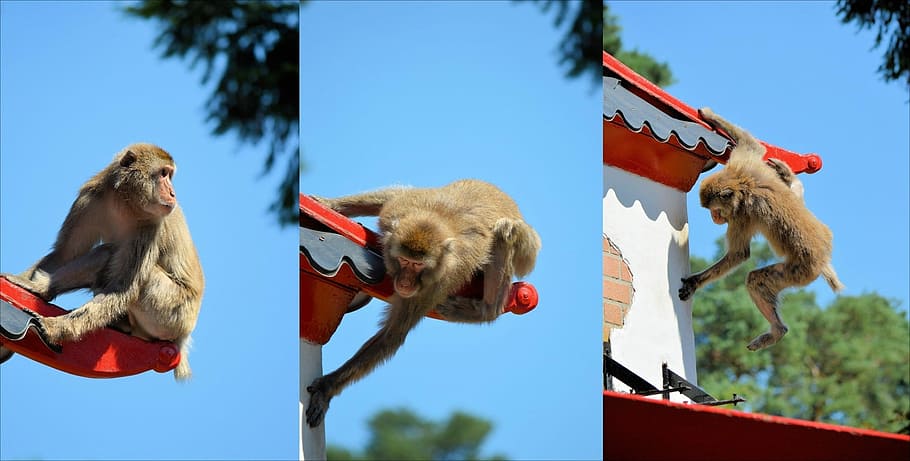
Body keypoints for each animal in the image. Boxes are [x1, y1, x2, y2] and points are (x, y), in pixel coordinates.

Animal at [1, 143, 205, 380]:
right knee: (105, 252)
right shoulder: (90, 198)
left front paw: (54, 328)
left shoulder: (151, 225)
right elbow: (65, 253)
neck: (125, 204)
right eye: (164, 174)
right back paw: (42, 289)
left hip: (172, 313)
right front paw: (25, 283)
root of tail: (184, 337)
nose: (173, 193)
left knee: (122, 262)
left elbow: (121, 291)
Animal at [305, 179, 541, 427]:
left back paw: (486, 310)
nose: (405, 282)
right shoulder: (395, 212)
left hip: (528, 251)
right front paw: (329, 204)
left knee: (507, 229)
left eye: (418, 265)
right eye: (403, 260)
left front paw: (327, 386)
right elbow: (397, 193)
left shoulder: (436, 283)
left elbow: (392, 336)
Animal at [678, 108, 843, 352]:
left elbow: (739, 254)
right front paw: (709, 115)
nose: (714, 218)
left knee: (757, 279)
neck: (742, 184)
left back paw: (777, 331)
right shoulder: (743, 164)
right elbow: (752, 146)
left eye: (715, 211)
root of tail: (823, 258)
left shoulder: (741, 216)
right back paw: (791, 179)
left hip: (800, 272)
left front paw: (694, 282)